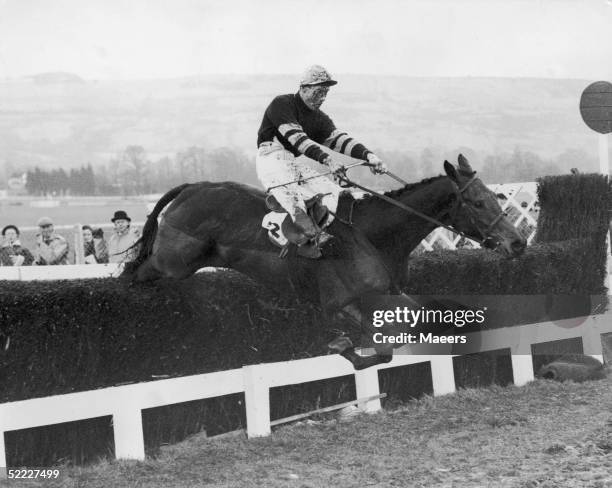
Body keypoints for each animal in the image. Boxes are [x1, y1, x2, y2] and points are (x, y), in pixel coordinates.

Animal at [123, 156, 524, 370]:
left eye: (495, 197)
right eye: (477, 202)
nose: (517, 242)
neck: (373, 234)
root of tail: (192, 187)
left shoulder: (390, 293)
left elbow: (413, 323)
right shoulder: (339, 303)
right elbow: (380, 348)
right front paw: (342, 346)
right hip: (173, 262)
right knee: (136, 271)